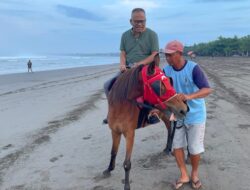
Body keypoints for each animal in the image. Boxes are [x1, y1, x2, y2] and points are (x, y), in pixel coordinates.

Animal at [103, 59, 188, 190]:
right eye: (159, 86)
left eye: (169, 83)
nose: (183, 109)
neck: (120, 106)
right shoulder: (115, 131)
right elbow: (113, 152)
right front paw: (109, 169)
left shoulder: (130, 134)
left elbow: (127, 163)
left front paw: (127, 186)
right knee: (169, 127)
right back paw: (167, 148)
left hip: (167, 113)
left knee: (171, 127)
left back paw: (169, 148)